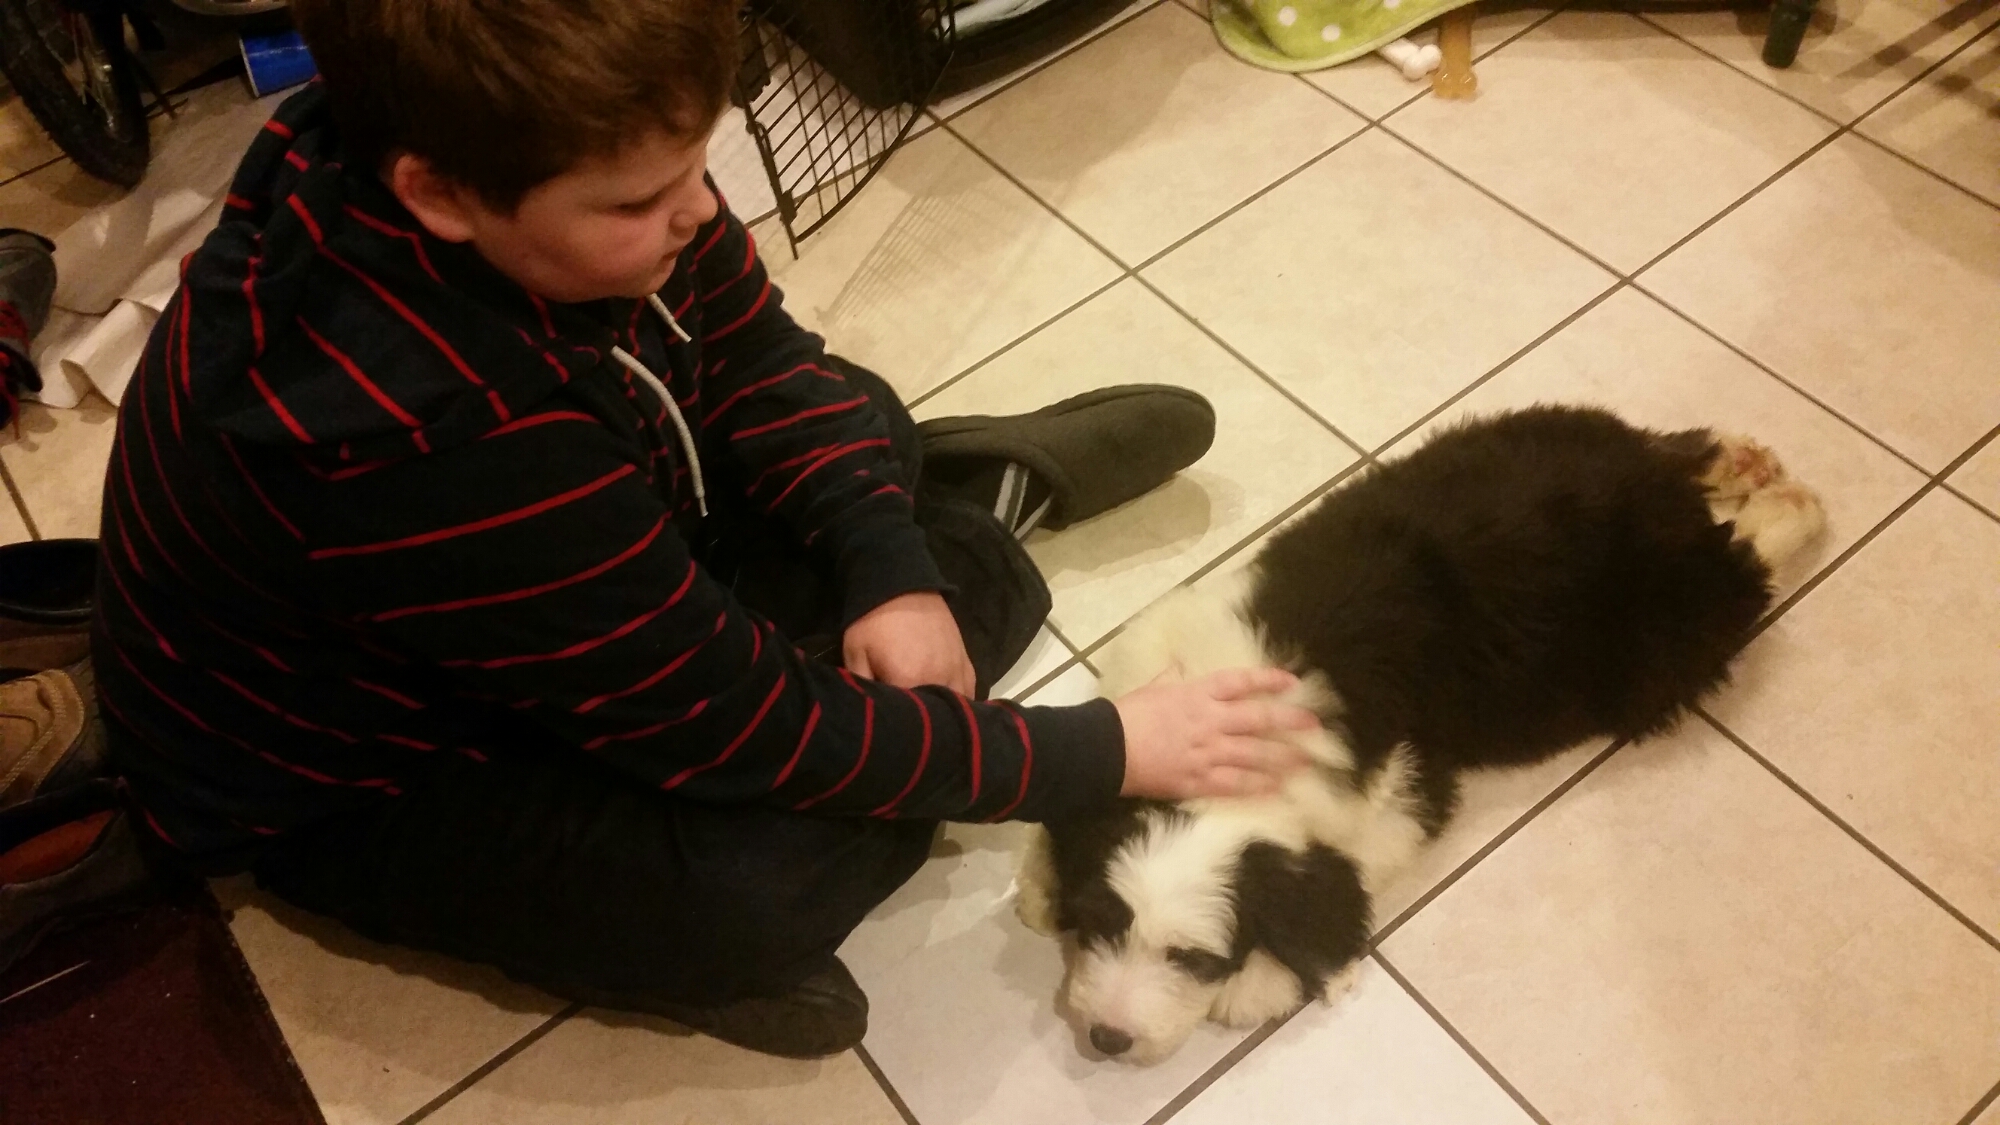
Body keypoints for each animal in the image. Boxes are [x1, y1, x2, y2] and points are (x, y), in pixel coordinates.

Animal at [1013, 405, 1826, 1065]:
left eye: (1196, 960)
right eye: (1101, 924)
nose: (1106, 1039)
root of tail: (1658, 493)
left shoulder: (1401, 795)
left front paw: (1268, 982)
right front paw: (1041, 886)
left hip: (1658, 640)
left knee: (1743, 570)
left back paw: (1791, 504)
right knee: (1678, 452)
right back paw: (1739, 460)